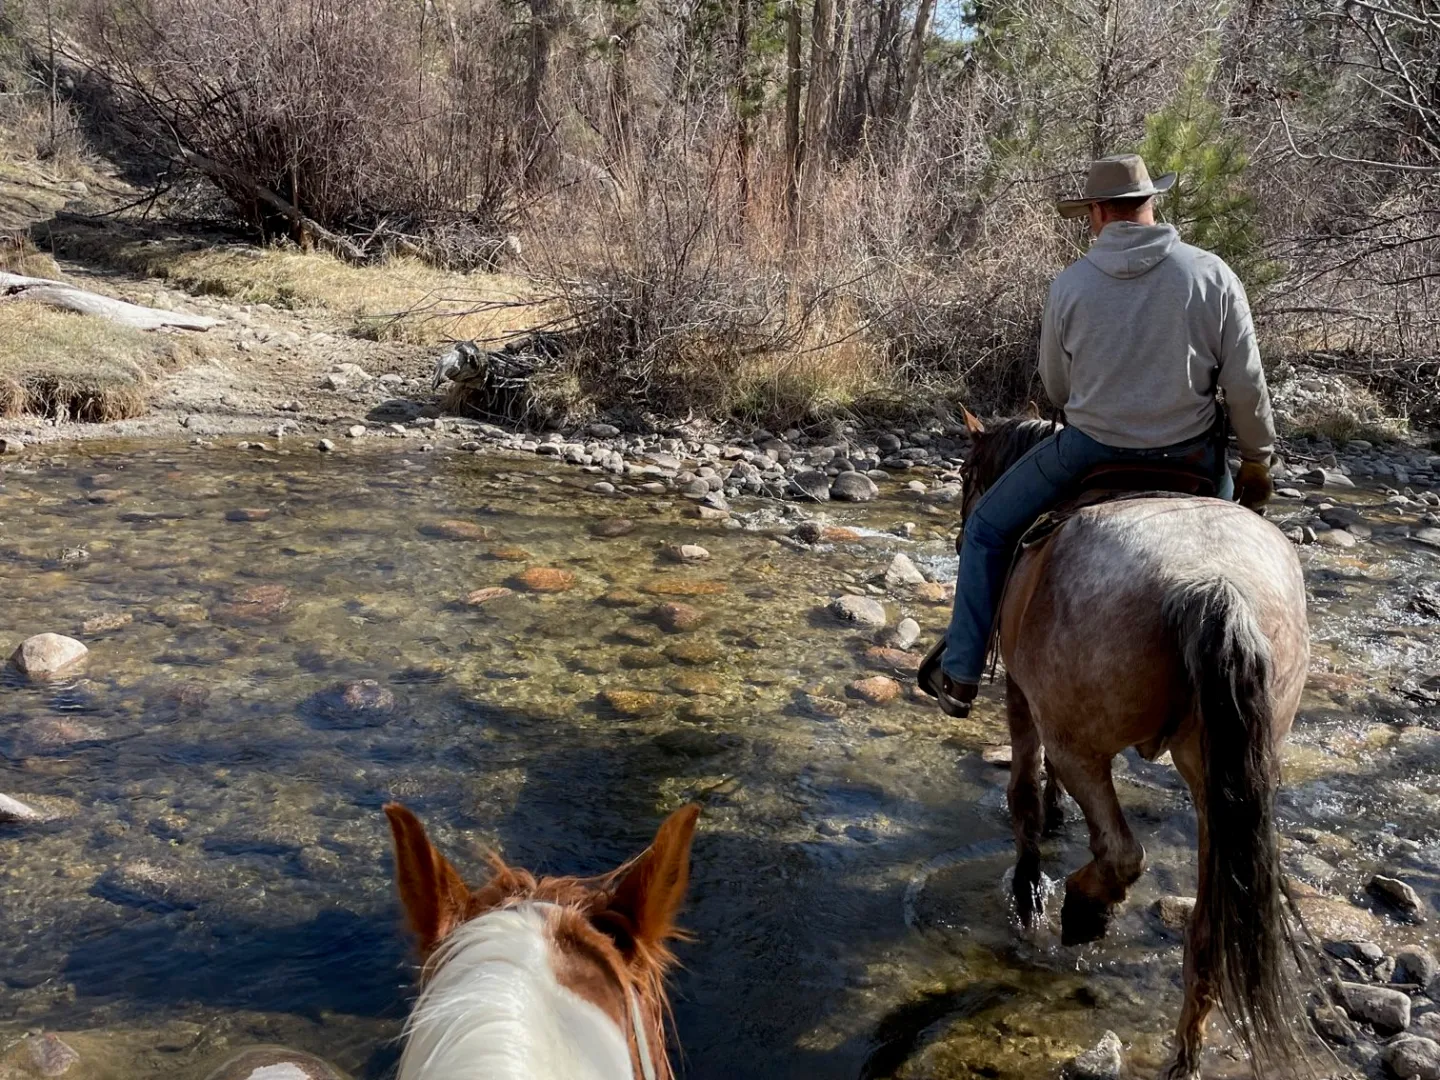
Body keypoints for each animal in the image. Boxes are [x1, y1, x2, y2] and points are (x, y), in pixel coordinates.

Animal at [958, 416, 1311, 1080]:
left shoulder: (1021, 691)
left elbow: (1023, 795)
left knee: (1121, 853)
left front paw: (1028, 894)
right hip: (1217, 780)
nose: (965, 522)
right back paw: (1185, 1055)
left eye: (968, 474)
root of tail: (1213, 585)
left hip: (1083, 745)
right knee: (1206, 927)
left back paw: (1082, 910)